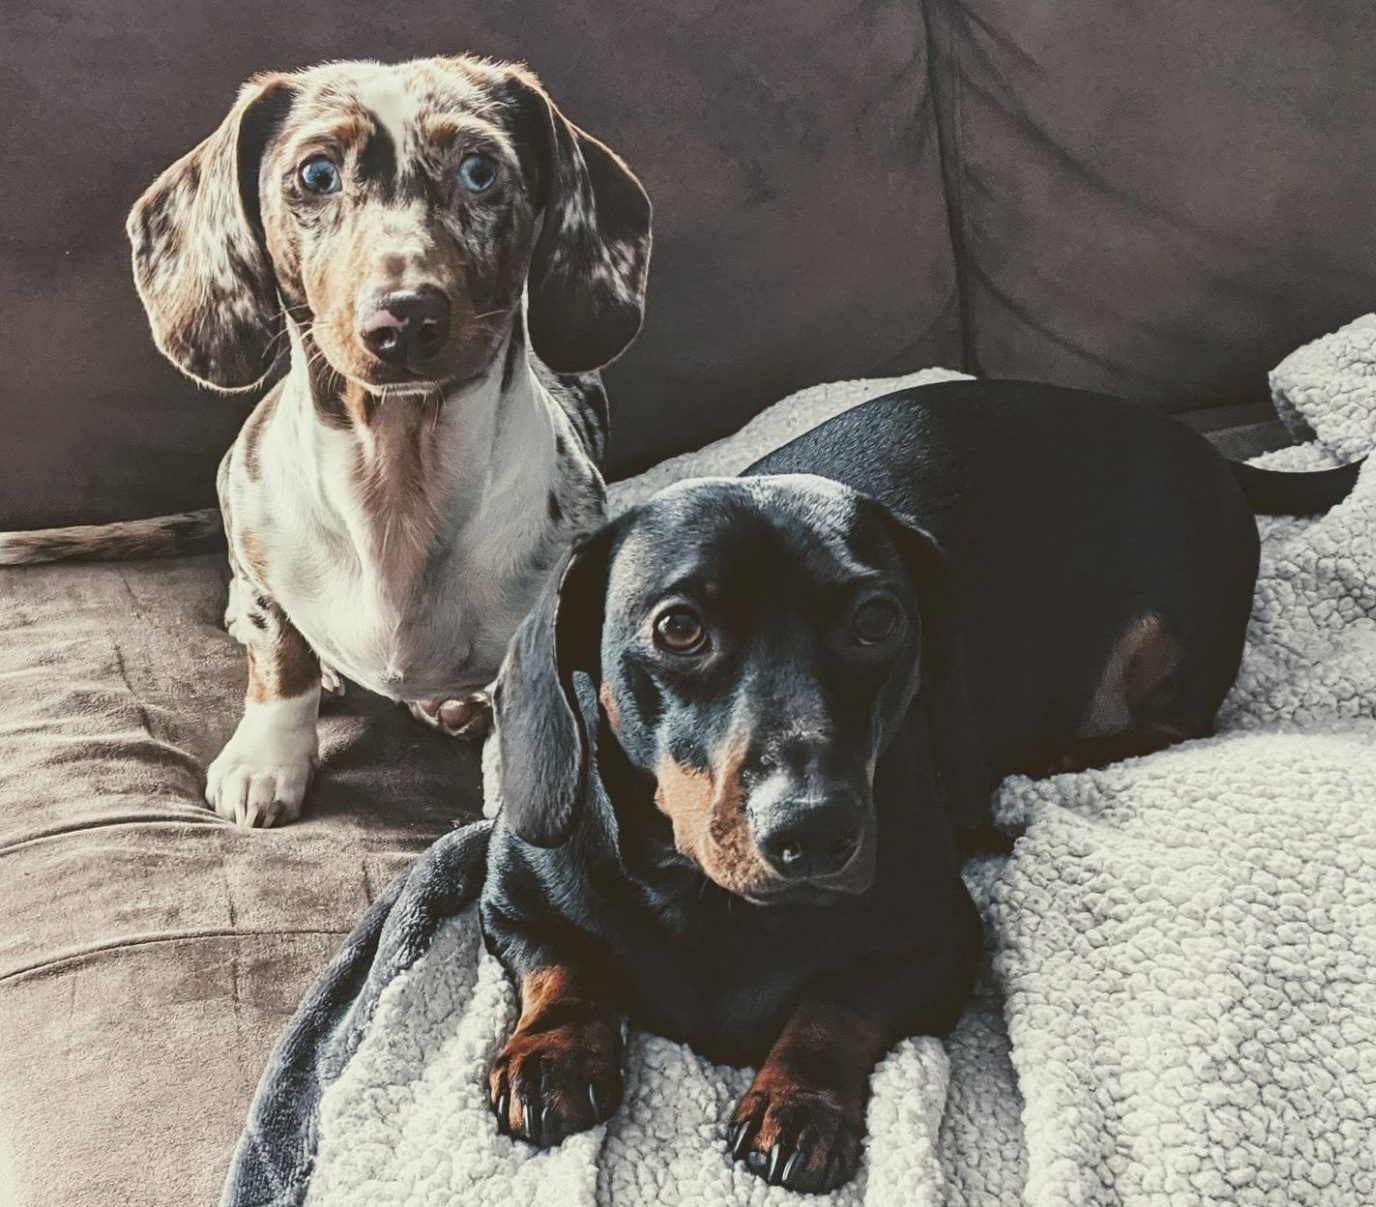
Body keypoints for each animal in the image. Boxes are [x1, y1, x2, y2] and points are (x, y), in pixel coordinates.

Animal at [0, 57, 651, 828]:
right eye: (316, 174)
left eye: (479, 170)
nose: (405, 319)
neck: (396, 484)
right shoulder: (253, 524)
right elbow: (281, 656)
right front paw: (266, 759)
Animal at [478, 379, 1360, 1193]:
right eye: (678, 627)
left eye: (878, 618)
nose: (815, 833)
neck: (713, 903)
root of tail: (1197, 445)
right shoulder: (511, 905)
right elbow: (567, 962)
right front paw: (551, 1051)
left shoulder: (944, 942)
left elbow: (838, 1004)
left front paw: (799, 1101)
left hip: (1169, 644)